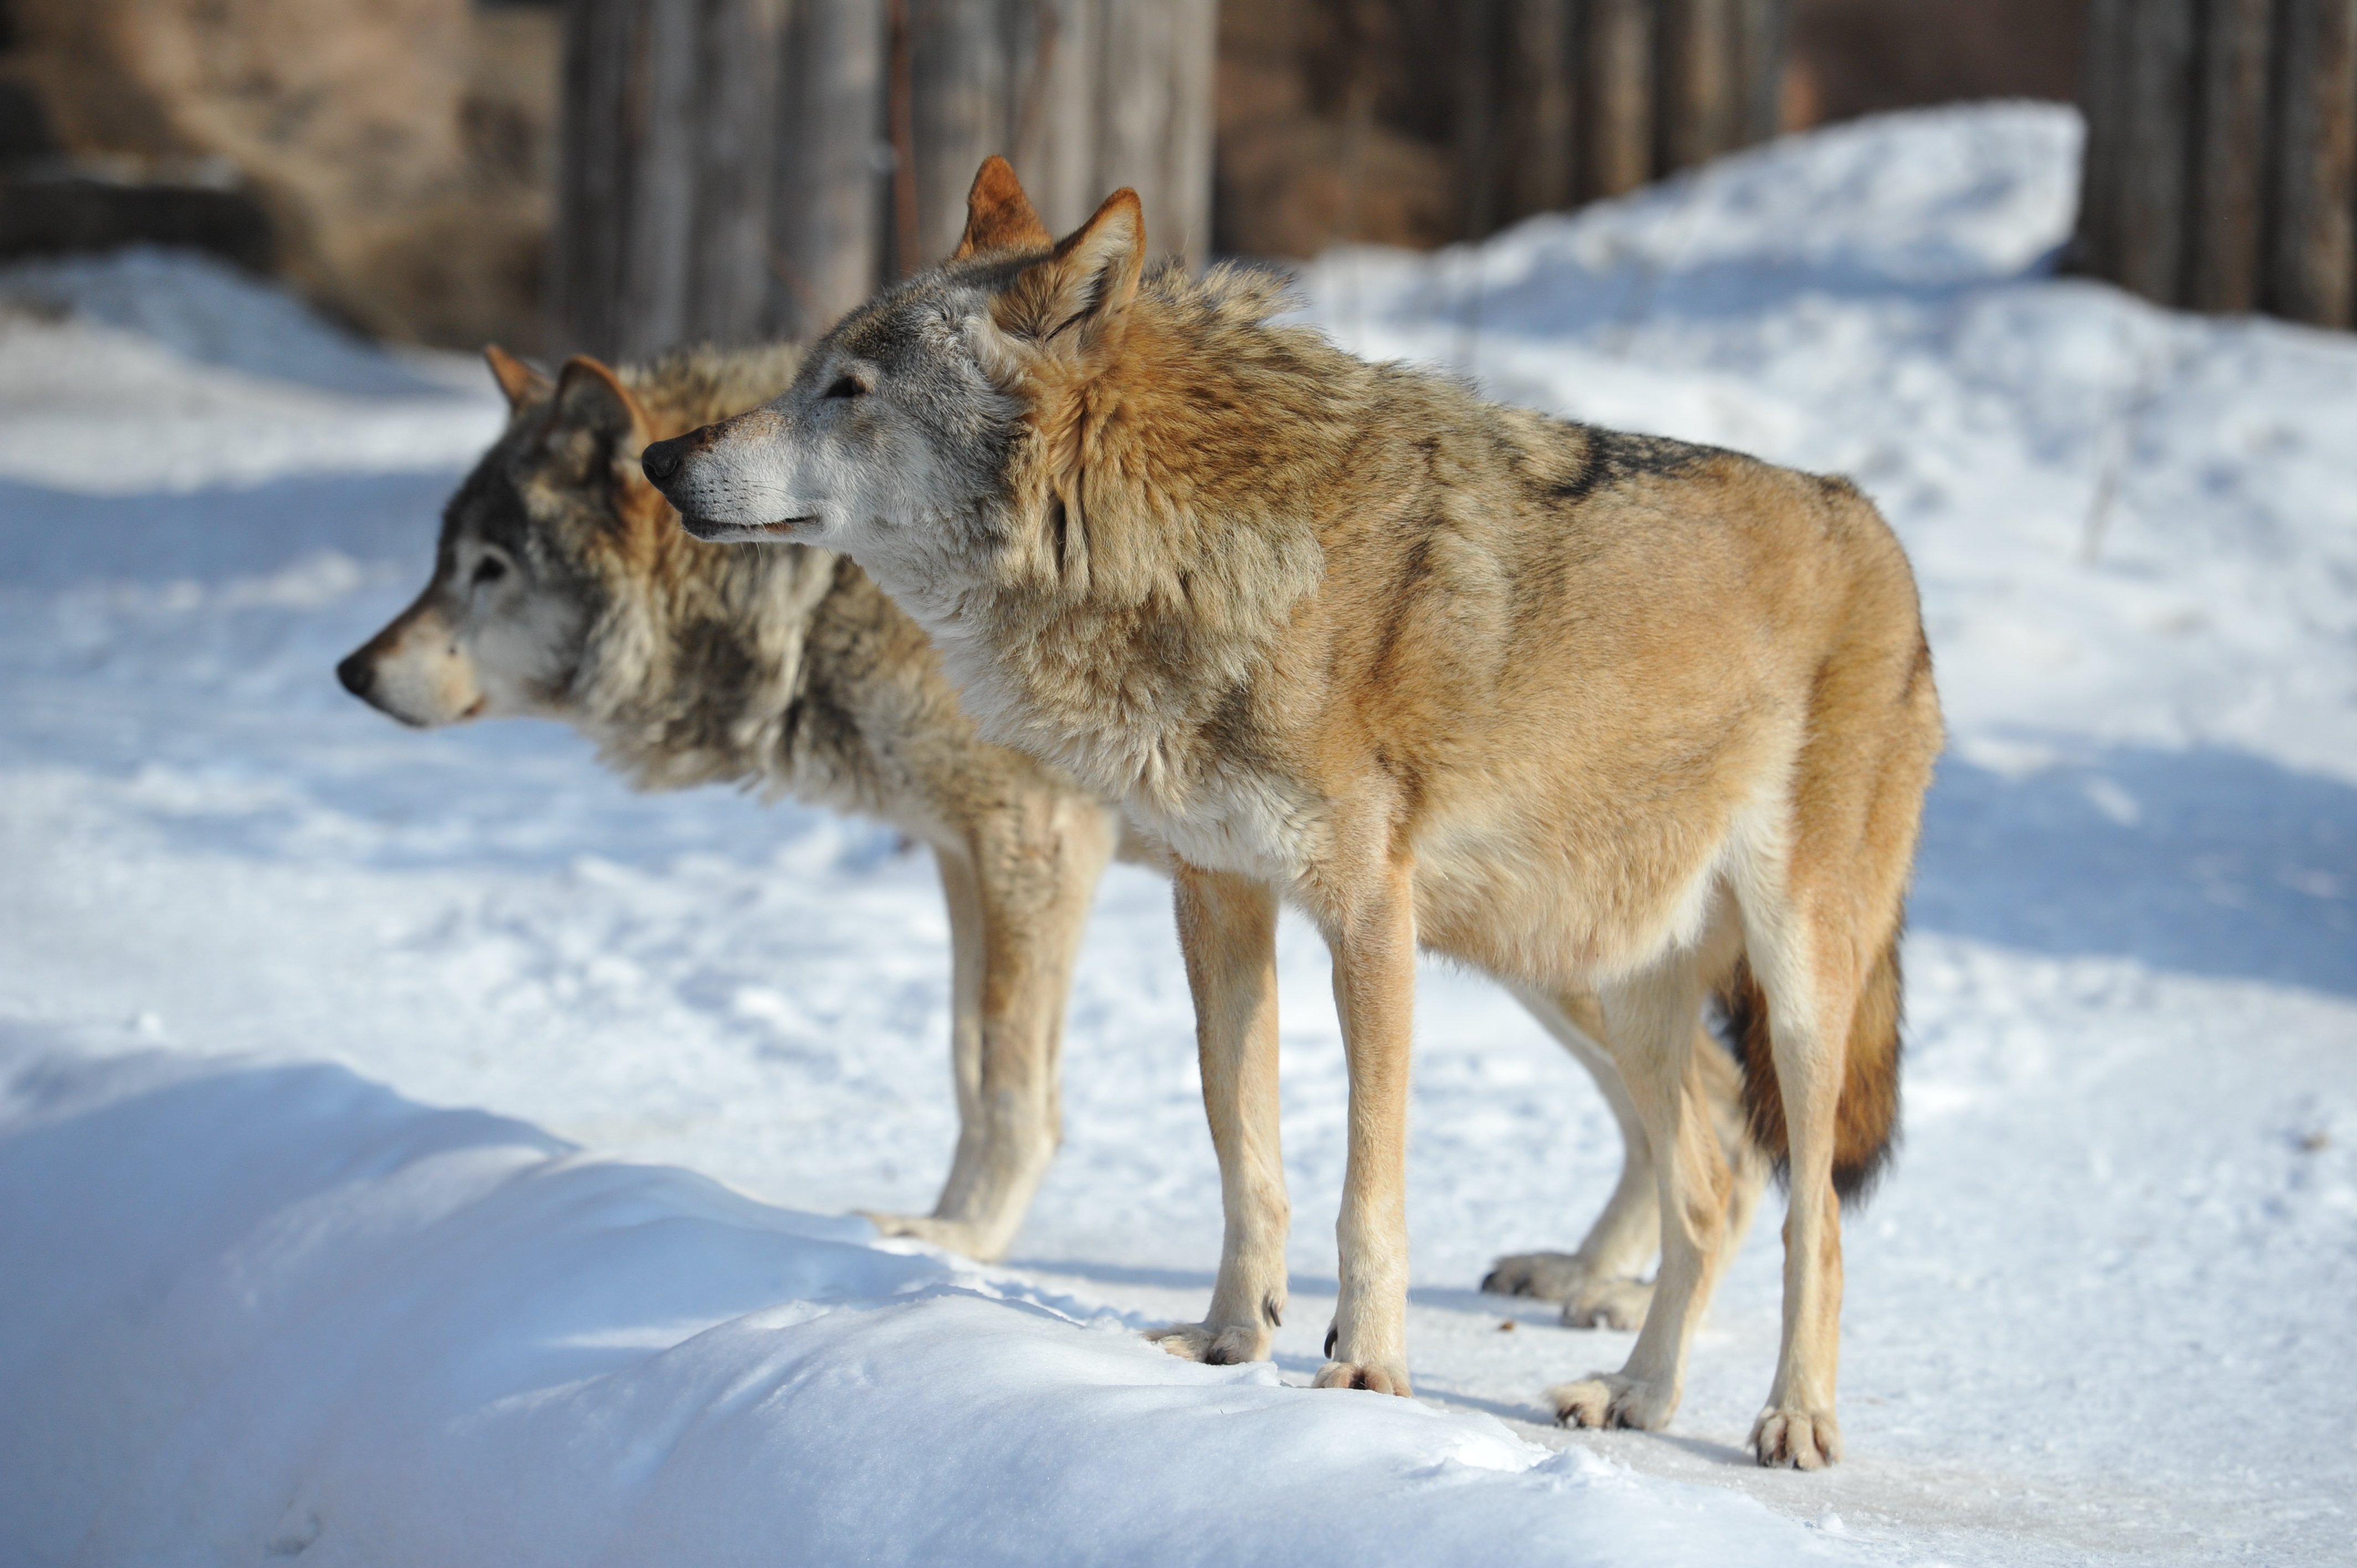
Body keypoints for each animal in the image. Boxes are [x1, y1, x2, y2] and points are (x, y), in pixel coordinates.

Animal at [342, 327, 1763, 1292]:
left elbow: (1014, 1074)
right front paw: (935, 1224)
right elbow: (969, 1065)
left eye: (489, 569)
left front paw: (966, 1236)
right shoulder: (959, 857)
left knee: (1714, 1109)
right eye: (438, 562)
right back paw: (1587, 1284)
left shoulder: (1034, 845)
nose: (353, 672)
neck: (825, 593)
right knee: (1682, 1107)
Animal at [641, 159, 1932, 1471]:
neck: (1182, 549)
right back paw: (1634, 1394)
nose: (659, 458)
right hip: (1611, 977)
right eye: (806, 373)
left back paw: (1794, 1417)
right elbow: (1243, 1153)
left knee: (1813, 1217)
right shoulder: (1217, 902)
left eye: (849, 391)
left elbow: (1369, 1185)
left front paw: (1364, 1371)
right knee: (1709, 1192)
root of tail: (1875, 527)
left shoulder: (1366, 919)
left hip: (1790, 991)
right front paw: (1226, 1344)